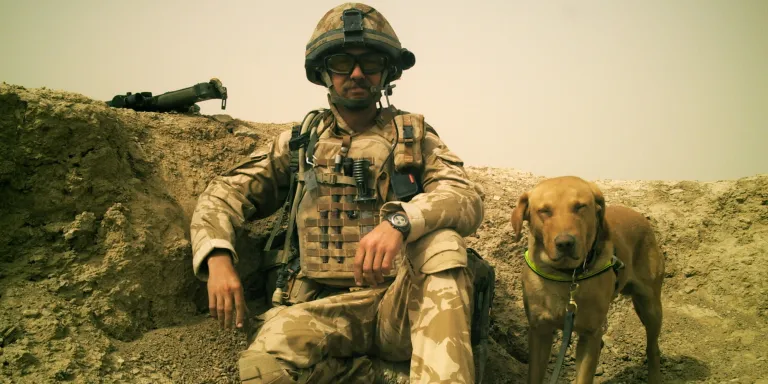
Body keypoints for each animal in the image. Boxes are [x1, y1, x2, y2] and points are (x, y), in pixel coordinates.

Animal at [510, 176, 660, 382]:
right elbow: (535, 375)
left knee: (653, 348)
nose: (565, 243)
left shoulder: (589, 335)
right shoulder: (540, 331)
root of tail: (639, 215)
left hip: (650, 306)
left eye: (580, 206)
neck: (566, 276)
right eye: (544, 211)